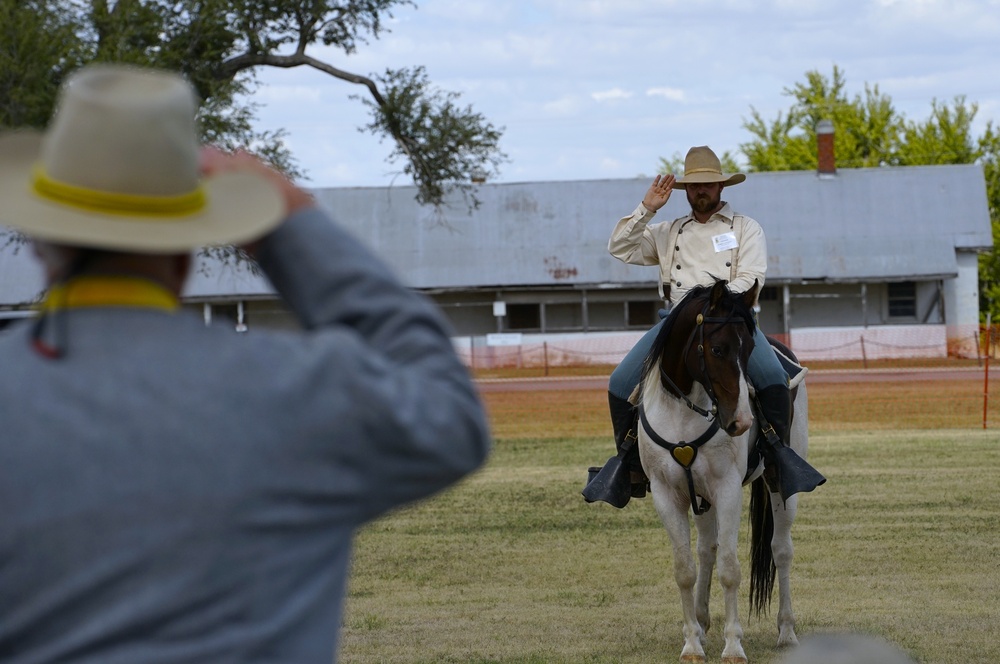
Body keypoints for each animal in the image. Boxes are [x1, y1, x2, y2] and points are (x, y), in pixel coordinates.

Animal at [632, 280, 812, 664]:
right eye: (716, 348)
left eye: (749, 350)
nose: (742, 421)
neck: (684, 412)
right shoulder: (667, 494)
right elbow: (685, 569)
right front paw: (692, 644)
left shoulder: (728, 489)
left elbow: (731, 569)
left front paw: (733, 646)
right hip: (700, 495)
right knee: (706, 549)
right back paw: (701, 621)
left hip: (779, 486)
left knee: (781, 549)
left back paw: (786, 632)